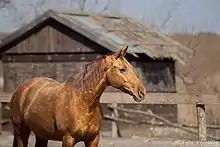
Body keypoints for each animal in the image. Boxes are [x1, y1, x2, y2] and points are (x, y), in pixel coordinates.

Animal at [10, 45, 147, 146]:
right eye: (122, 69)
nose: (142, 92)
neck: (83, 102)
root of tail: (20, 89)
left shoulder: (93, 139)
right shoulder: (68, 139)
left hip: (41, 135)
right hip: (21, 132)